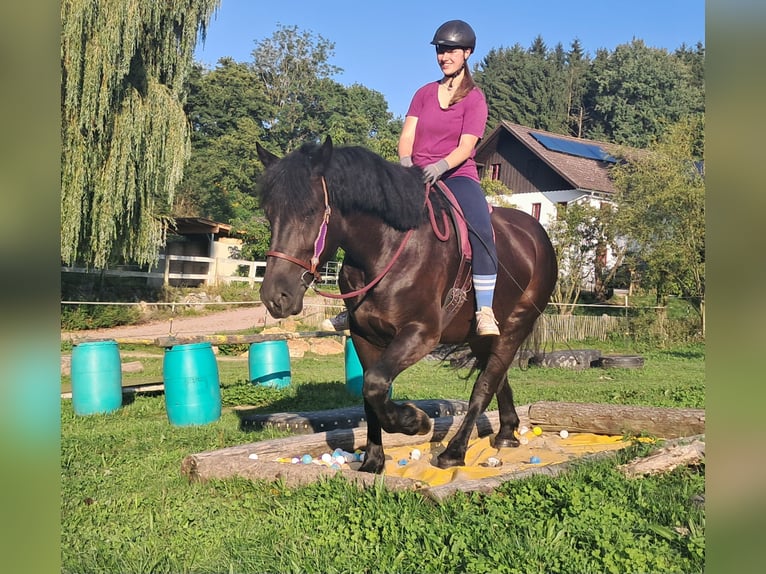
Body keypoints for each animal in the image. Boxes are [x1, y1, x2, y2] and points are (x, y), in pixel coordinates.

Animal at [255, 136, 558, 474]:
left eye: (310, 211)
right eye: (269, 213)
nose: (275, 296)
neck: (384, 250)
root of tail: (536, 234)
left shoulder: (420, 334)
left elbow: (375, 385)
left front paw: (415, 420)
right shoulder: (364, 336)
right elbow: (369, 395)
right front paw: (373, 461)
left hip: (516, 325)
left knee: (485, 384)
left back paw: (455, 451)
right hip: (482, 335)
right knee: (497, 375)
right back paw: (506, 432)